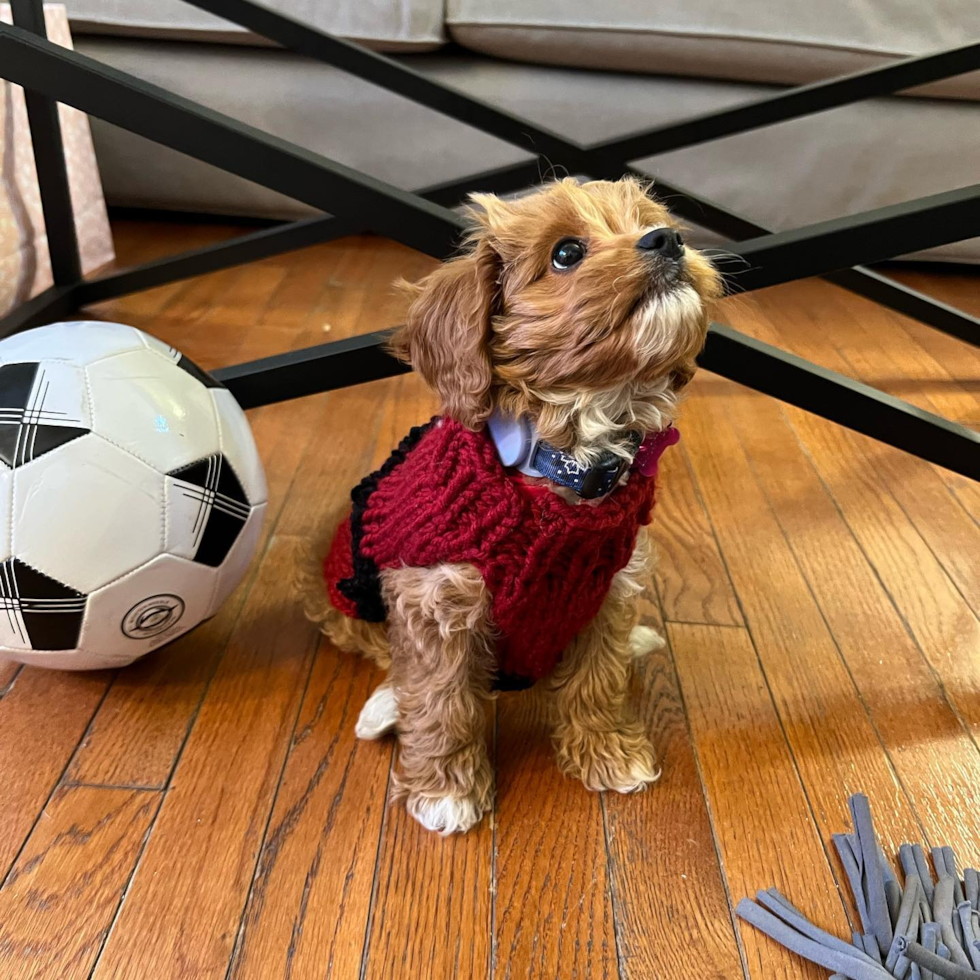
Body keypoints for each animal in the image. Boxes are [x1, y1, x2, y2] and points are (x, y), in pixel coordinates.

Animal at [302, 176, 724, 836]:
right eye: (567, 253)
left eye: (650, 221)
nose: (668, 239)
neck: (568, 460)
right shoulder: (436, 596)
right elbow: (442, 699)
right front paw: (446, 791)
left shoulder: (607, 585)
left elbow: (597, 679)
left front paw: (608, 753)